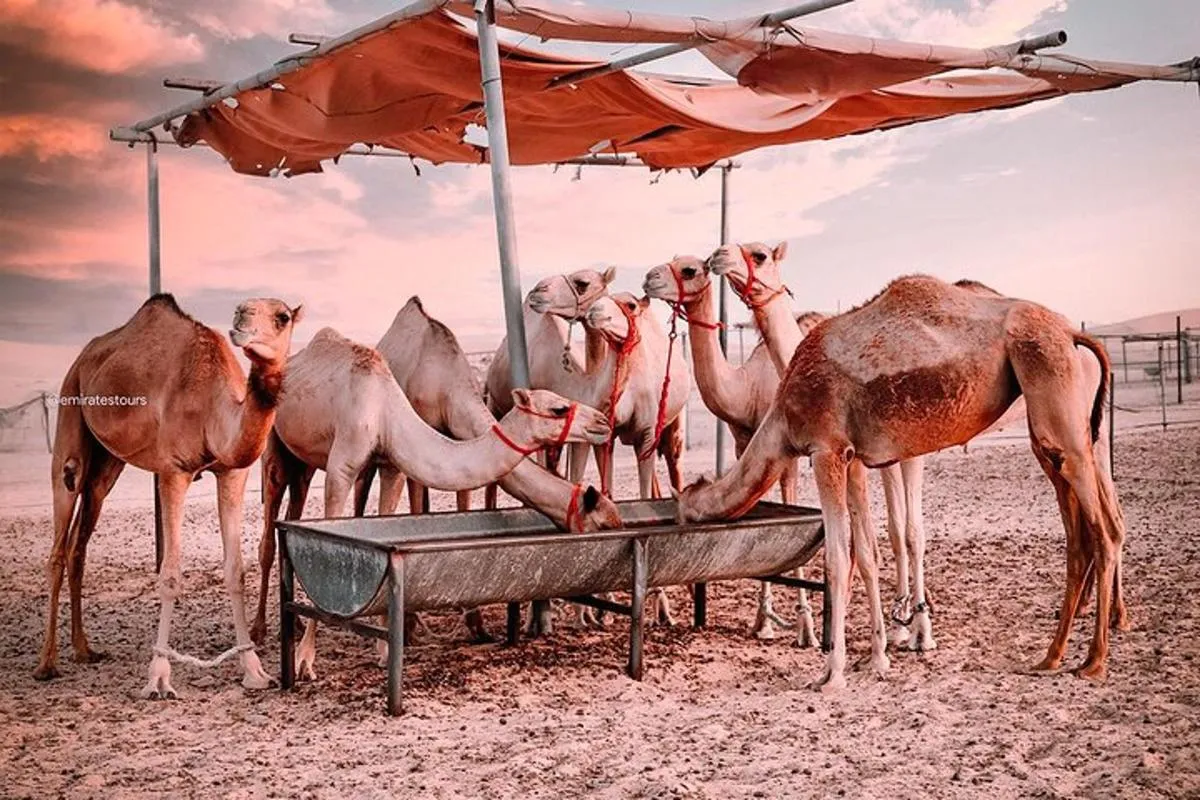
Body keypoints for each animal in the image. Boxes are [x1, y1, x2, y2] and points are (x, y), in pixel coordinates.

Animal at [34, 294, 302, 699]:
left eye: (282, 317)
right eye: (242, 309)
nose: (240, 318)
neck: (213, 410)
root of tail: (84, 357)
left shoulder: (232, 472)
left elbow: (235, 571)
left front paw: (254, 669)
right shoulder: (173, 471)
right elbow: (171, 574)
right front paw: (158, 677)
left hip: (107, 464)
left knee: (78, 544)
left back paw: (84, 649)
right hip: (70, 410)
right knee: (58, 537)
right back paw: (46, 664)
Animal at [258, 327, 611, 679]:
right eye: (558, 409)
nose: (602, 422)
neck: (384, 412)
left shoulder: (391, 466)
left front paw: (384, 650)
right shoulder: (340, 467)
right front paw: (305, 661)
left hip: (303, 461)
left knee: (296, 500)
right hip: (274, 442)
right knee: (270, 524)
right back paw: (263, 631)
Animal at [642, 256, 820, 644]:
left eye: (690, 270)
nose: (650, 277)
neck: (747, 389)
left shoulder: (787, 455)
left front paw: (805, 627)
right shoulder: (743, 443)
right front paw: (763, 621)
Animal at [677, 271, 1127, 691]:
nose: (679, 519)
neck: (782, 411)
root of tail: (1072, 332)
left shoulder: (826, 449)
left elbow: (837, 558)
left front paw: (832, 673)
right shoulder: (852, 456)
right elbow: (866, 551)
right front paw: (877, 657)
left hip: (1057, 396)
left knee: (1103, 530)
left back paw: (1095, 661)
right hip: (1055, 426)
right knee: (1085, 532)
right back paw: (1053, 656)